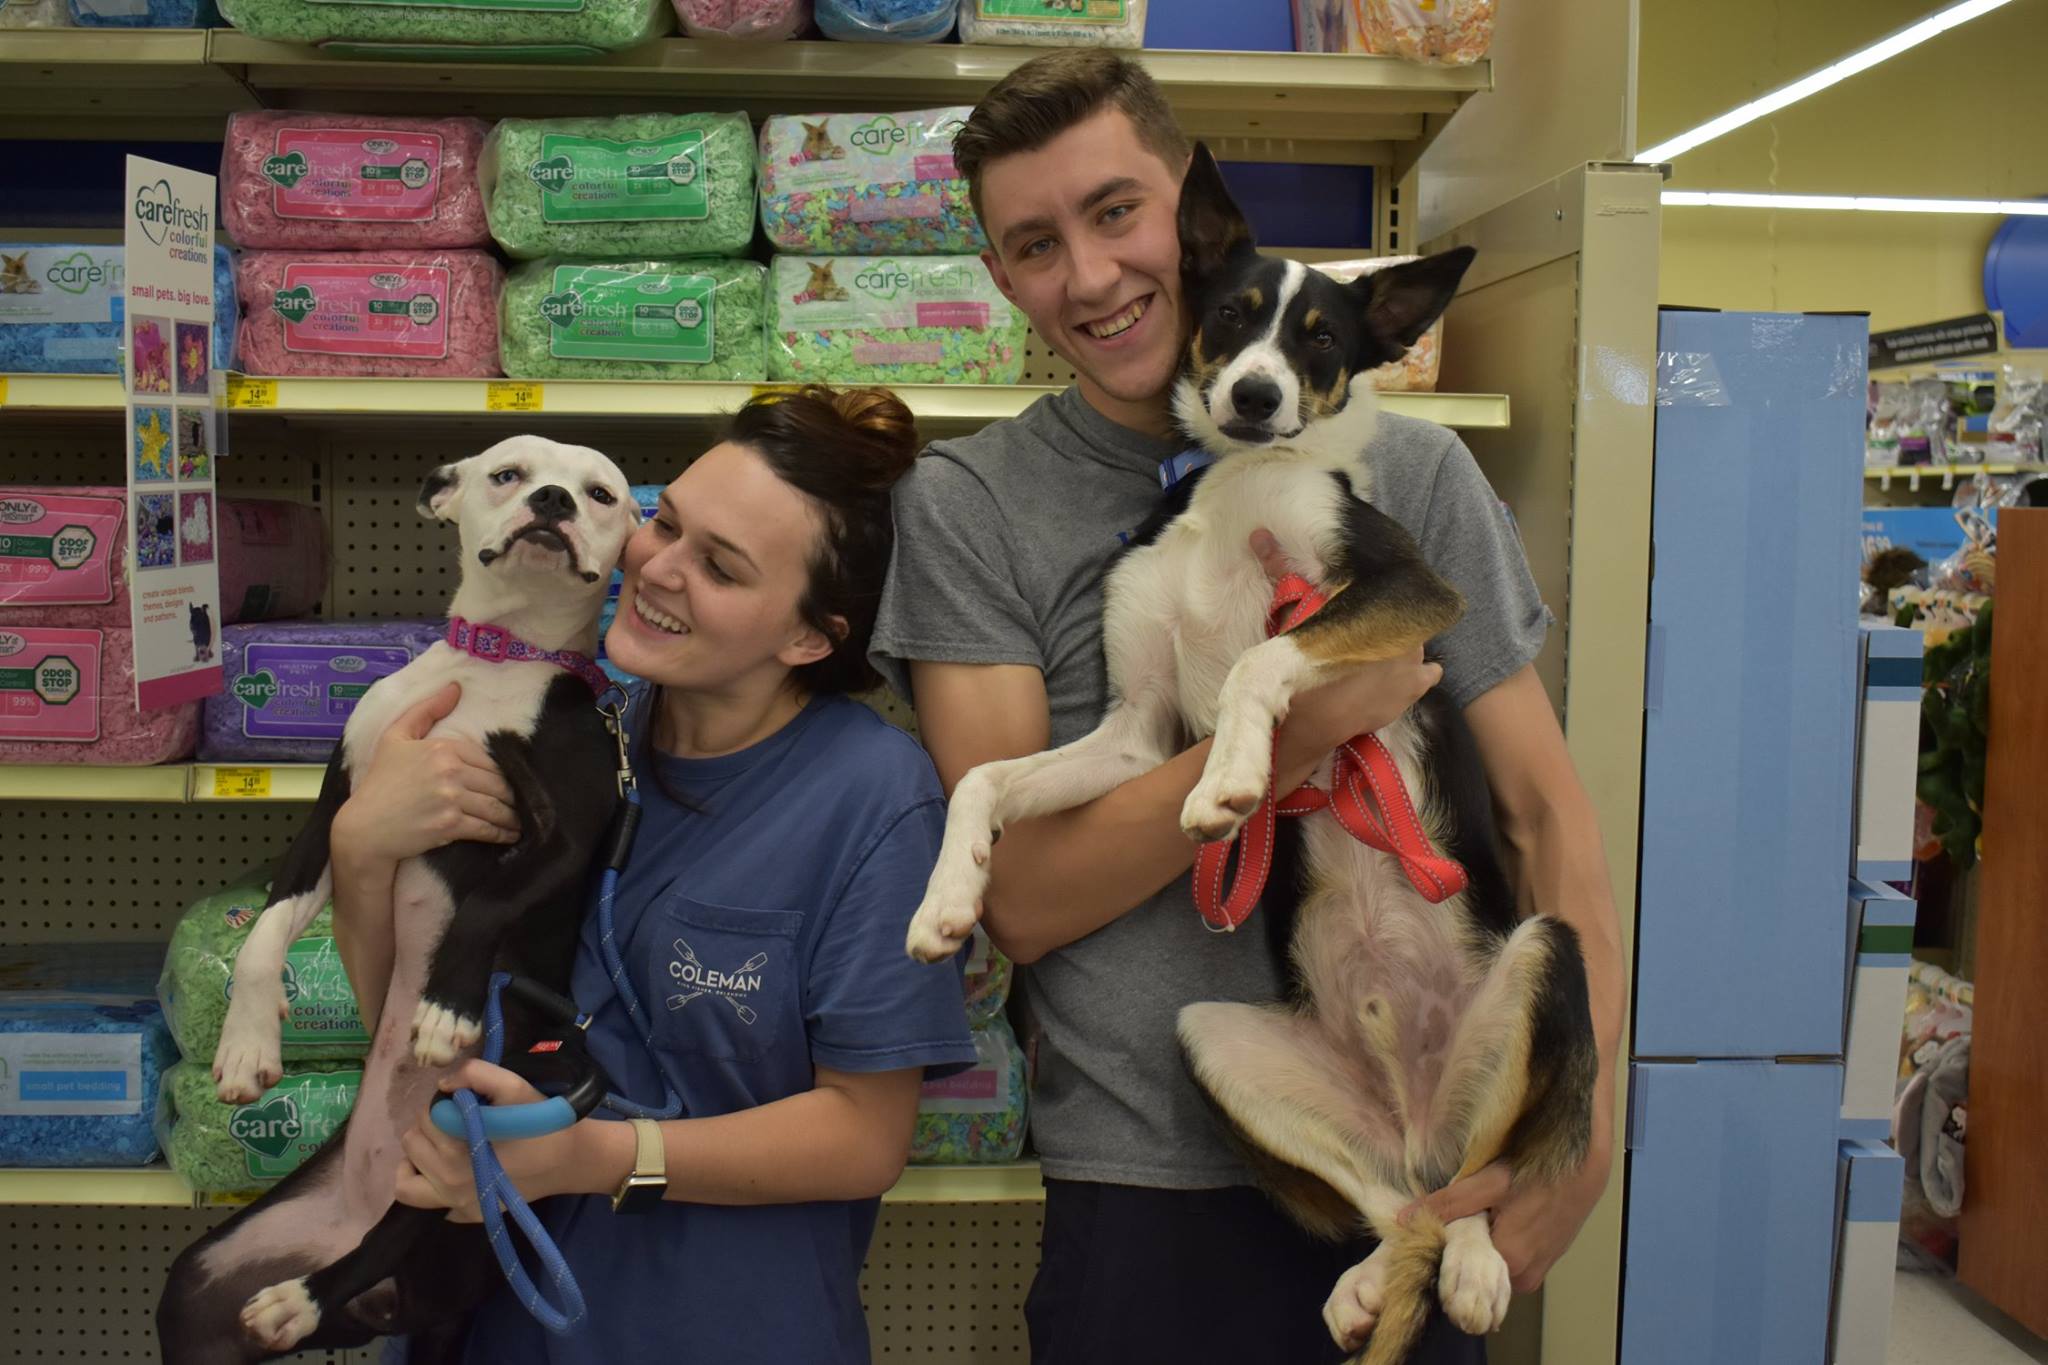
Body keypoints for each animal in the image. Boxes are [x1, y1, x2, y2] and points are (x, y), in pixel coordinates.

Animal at [158, 435, 640, 1365]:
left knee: (408, 1218)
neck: (498, 655)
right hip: (198, 1291)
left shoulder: (562, 833)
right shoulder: (340, 815)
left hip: (496, 1112)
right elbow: (266, 930)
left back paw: (302, 1298)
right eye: (509, 474)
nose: (555, 502)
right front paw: (244, 1046)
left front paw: (446, 1008)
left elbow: (486, 905)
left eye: (602, 494)